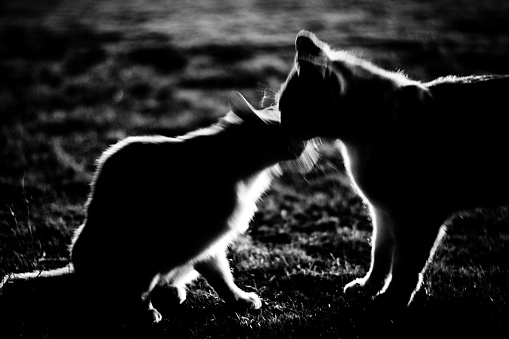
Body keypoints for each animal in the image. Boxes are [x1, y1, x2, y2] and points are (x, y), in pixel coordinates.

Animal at [0, 91, 318, 326]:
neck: (239, 167)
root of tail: (75, 269)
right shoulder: (157, 243)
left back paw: (172, 290)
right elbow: (142, 286)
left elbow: (222, 278)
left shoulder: (208, 244)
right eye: (292, 128)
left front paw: (238, 300)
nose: (308, 143)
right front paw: (144, 312)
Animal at [276, 30, 508, 312]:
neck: (359, 139)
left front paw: (393, 300)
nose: (277, 133)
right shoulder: (382, 211)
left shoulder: (421, 215)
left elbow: (406, 265)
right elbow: (380, 254)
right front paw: (369, 287)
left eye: (287, 111)